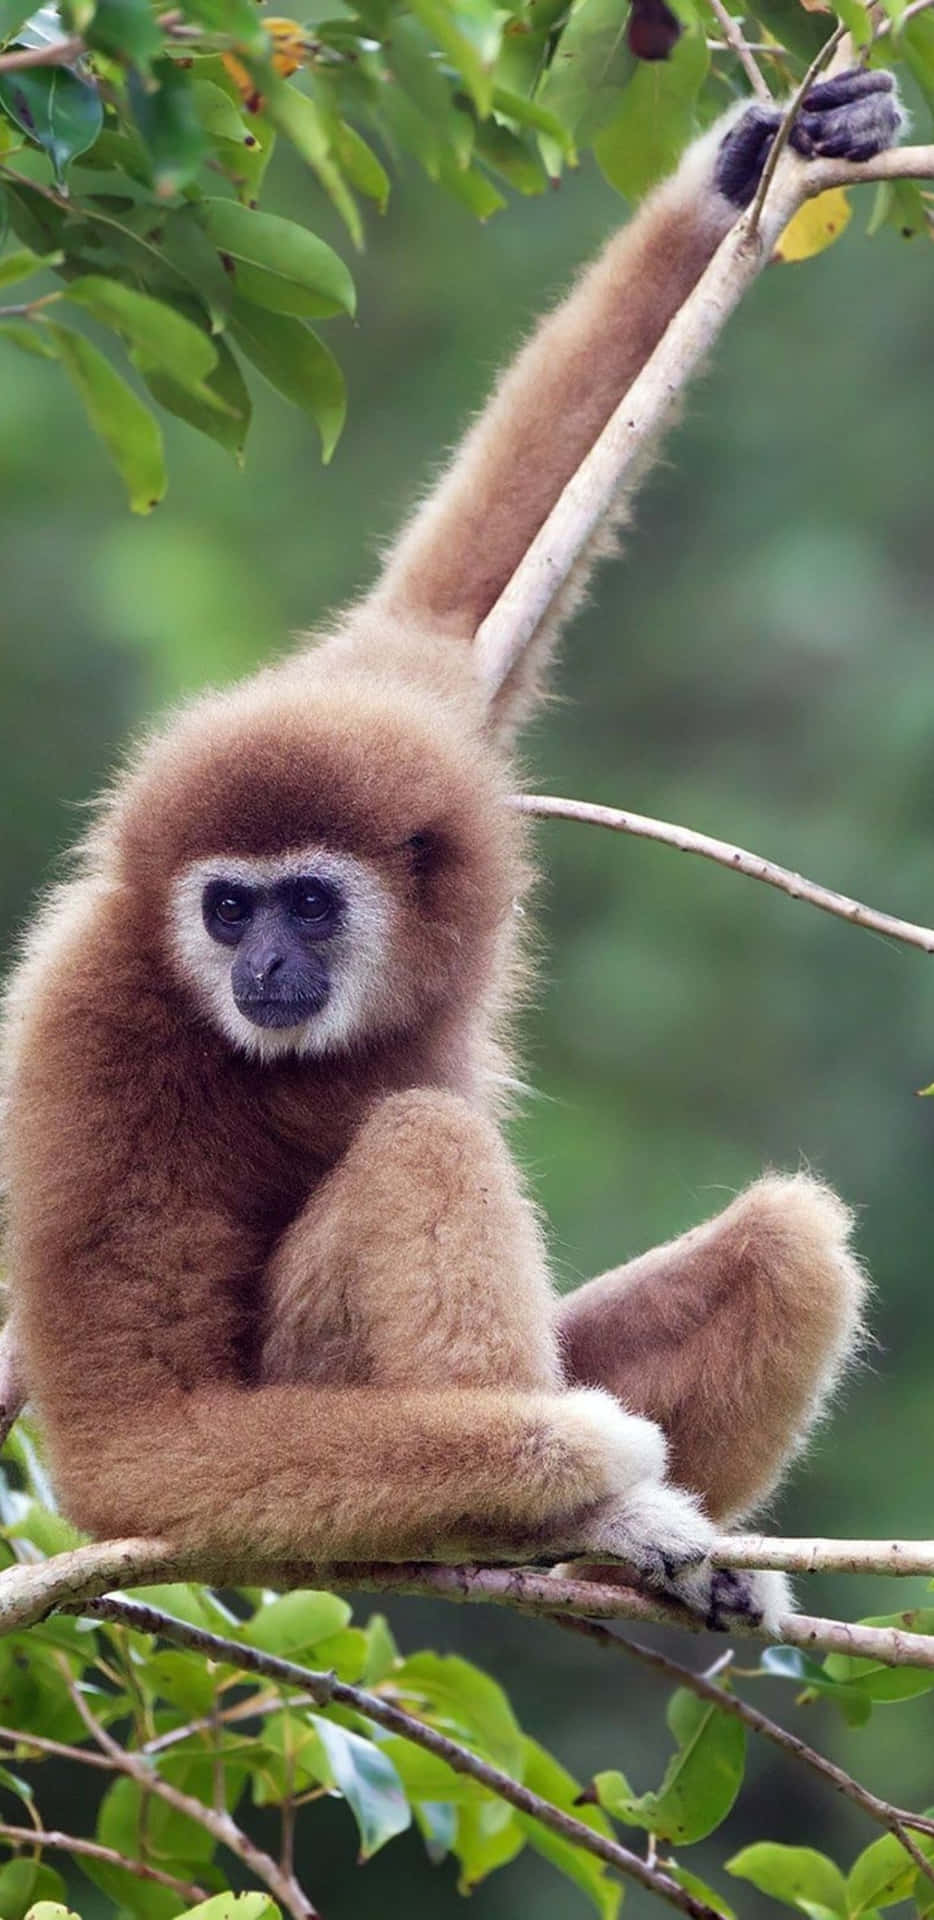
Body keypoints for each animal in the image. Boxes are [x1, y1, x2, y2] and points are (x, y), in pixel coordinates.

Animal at [0, 69, 902, 1632]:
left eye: (306, 900)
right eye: (225, 910)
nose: (266, 964)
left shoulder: (410, 695)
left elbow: (455, 588)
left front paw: (743, 167)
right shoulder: (88, 1028)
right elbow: (135, 1447)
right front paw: (585, 1469)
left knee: (792, 1236)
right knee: (424, 1142)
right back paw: (590, 1519)